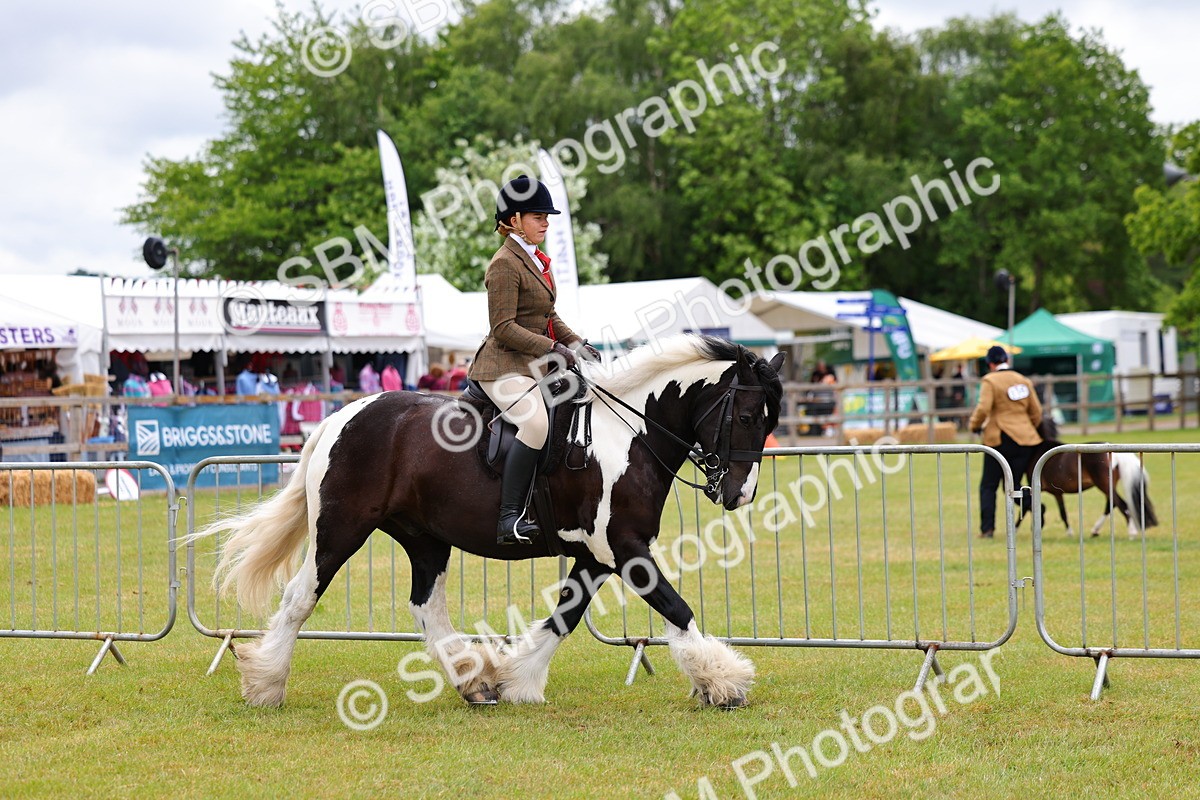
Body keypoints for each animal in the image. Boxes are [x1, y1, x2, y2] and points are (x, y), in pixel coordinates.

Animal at [190, 334, 784, 709]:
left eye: (769, 420)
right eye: (747, 416)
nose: (739, 493)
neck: (628, 435)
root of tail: (343, 415)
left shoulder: (596, 555)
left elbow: (564, 618)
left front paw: (517, 680)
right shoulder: (624, 547)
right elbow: (676, 607)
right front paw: (724, 682)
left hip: (424, 539)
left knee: (426, 607)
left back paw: (473, 682)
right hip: (340, 531)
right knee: (299, 598)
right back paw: (266, 686)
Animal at [1017, 417, 1157, 538]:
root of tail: (1115, 453)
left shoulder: (1039, 488)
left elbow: (1027, 506)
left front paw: (1017, 528)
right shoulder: (1057, 493)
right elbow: (1063, 512)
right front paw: (1069, 532)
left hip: (1103, 484)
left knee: (1121, 504)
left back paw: (1131, 532)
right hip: (1108, 485)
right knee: (1111, 504)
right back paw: (1095, 530)